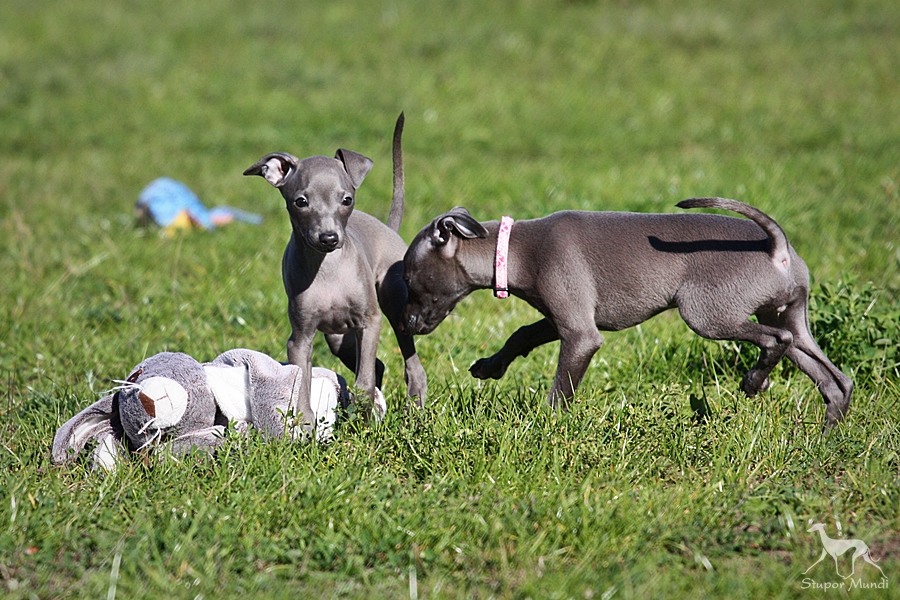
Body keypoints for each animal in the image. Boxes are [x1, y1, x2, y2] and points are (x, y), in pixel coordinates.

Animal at [244, 114, 427, 433]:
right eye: (301, 202)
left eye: (347, 200)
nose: (329, 238)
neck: (327, 269)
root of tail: (387, 228)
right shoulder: (300, 339)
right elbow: (301, 386)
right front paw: (306, 429)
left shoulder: (370, 321)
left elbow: (363, 382)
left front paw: (363, 414)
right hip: (339, 339)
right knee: (377, 364)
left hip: (395, 309)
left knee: (410, 367)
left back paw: (412, 412)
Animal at [400, 198, 852, 427]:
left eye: (409, 277)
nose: (407, 324)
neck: (517, 249)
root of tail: (777, 246)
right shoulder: (565, 318)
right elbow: (522, 333)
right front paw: (490, 366)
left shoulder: (581, 334)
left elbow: (560, 391)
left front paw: (543, 431)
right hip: (788, 314)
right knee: (835, 378)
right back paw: (829, 432)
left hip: (708, 314)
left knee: (776, 341)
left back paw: (755, 381)